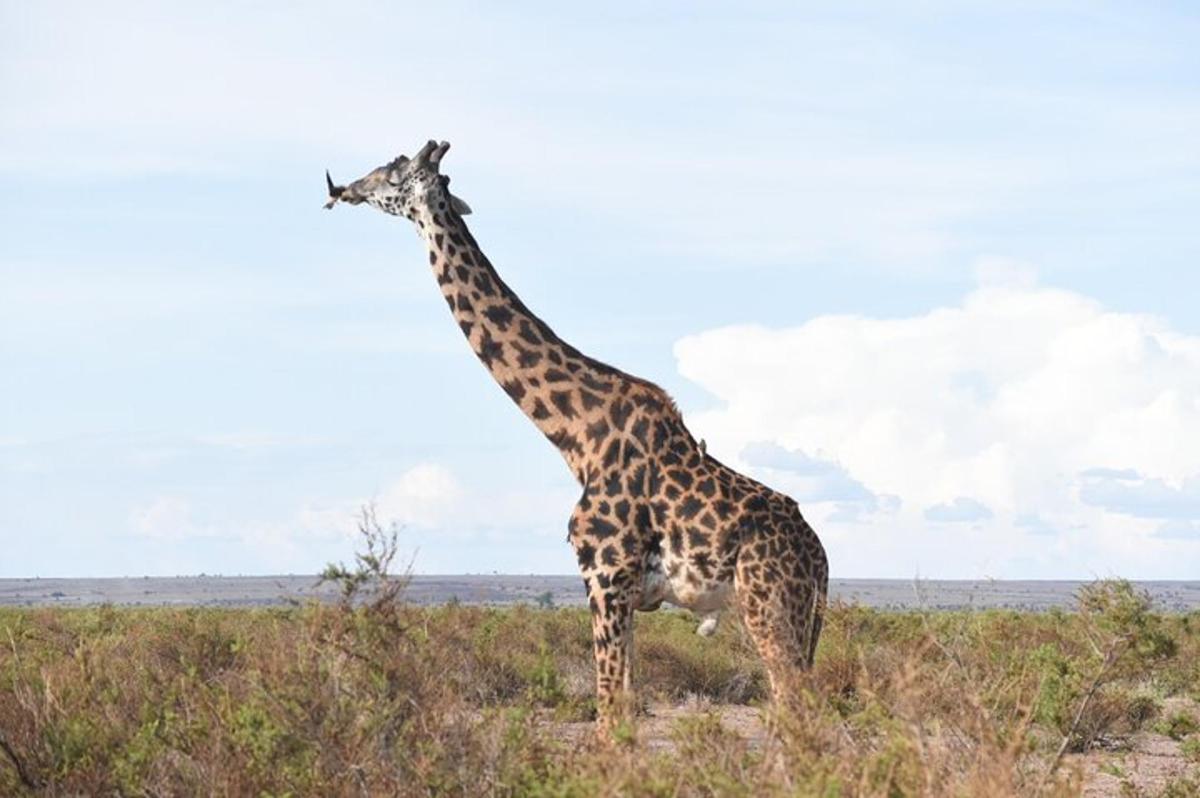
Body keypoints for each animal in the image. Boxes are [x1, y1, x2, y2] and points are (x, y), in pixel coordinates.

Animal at [328, 138, 830, 734]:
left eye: (392, 172)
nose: (344, 190)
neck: (574, 434)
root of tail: (821, 559)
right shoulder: (627, 592)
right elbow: (624, 708)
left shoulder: (605, 574)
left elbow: (609, 714)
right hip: (799, 618)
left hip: (769, 605)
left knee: (797, 707)